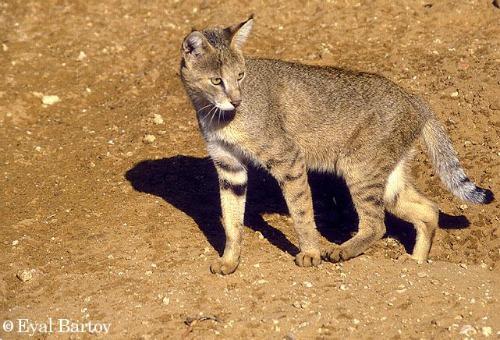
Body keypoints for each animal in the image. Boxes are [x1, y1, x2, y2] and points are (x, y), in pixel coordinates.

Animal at [179, 16, 492, 276]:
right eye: (217, 80)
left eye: (241, 76)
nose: (236, 100)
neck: (215, 114)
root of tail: (413, 96)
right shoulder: (229, 168)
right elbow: (232, 222)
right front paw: (229, 261)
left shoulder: (289, 159)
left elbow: (301, 213)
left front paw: (310, 253)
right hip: (389, 180)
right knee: (429, 209)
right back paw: (416, 262)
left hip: (360, 169)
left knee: (378, 224)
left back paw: (343, 250)